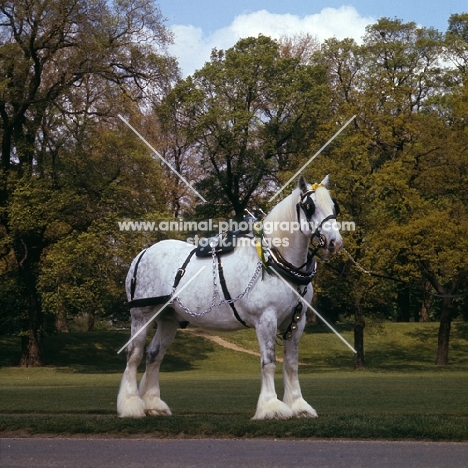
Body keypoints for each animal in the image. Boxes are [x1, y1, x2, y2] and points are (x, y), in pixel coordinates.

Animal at [118, 176, 344, 420]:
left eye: (334, 207)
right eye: (309, 207)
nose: (335, 242)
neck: (275, 260)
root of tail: (143, 253)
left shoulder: (297, 321)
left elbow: (291, 364)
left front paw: (298, 405)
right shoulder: (266, 319)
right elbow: (269, 362)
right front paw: (271, 407)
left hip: (168, 319)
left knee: (154, 355)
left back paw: (153, 404)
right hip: (141, 315)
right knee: (134, 354)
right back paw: (131, 405)